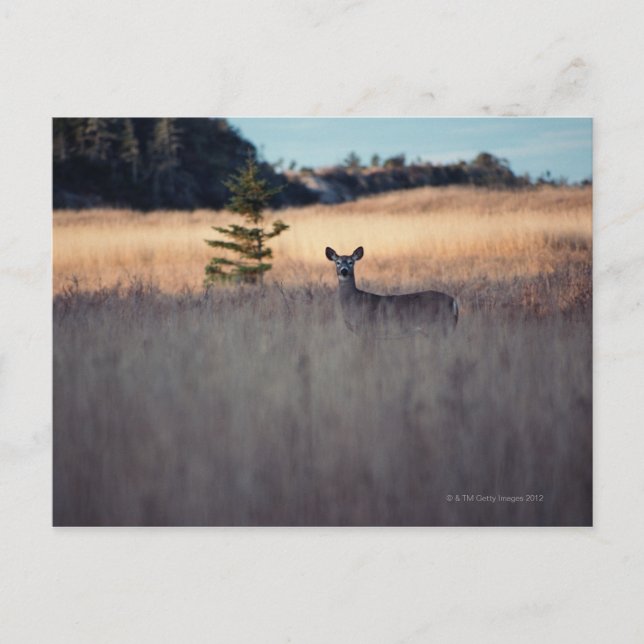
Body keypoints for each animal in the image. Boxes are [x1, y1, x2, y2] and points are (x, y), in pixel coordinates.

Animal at [325, 246, 458, 337]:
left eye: (351, 262)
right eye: (337, 262)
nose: (344, 271)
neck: (355, 300)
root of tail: (454, 301)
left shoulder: (368, 328)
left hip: (439, 325)